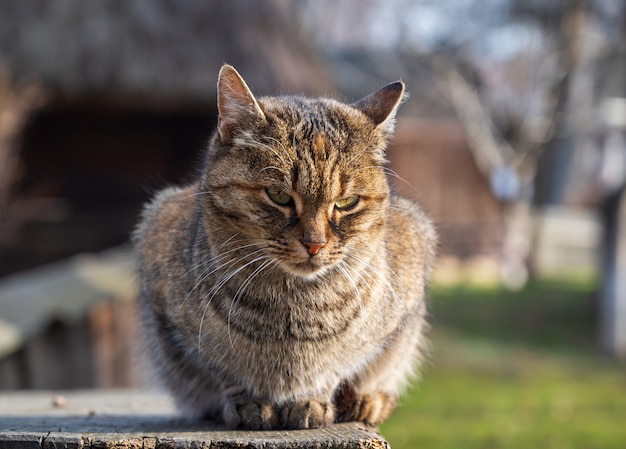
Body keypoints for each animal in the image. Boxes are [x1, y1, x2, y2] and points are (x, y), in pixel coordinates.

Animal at [133, 64, 434, 430]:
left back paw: (366, 401)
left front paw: (312, 399)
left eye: (346, 202)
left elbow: (337, 365)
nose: (315, 244)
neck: (295, 305)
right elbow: (223, 369)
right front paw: (249, 402)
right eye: (278, 196)